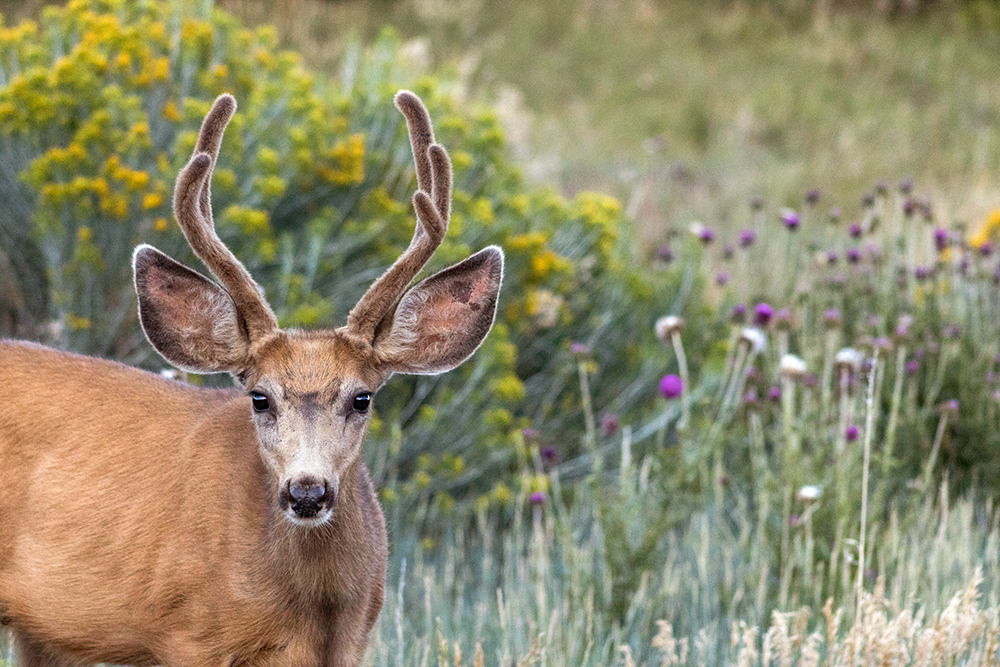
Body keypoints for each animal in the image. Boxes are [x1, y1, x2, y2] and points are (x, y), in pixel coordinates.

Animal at [0, 90, 504, 667]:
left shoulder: (353, 642)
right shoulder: (187, 636)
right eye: (259, 397)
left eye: (362, 398)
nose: (307, 493)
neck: (313, 611)